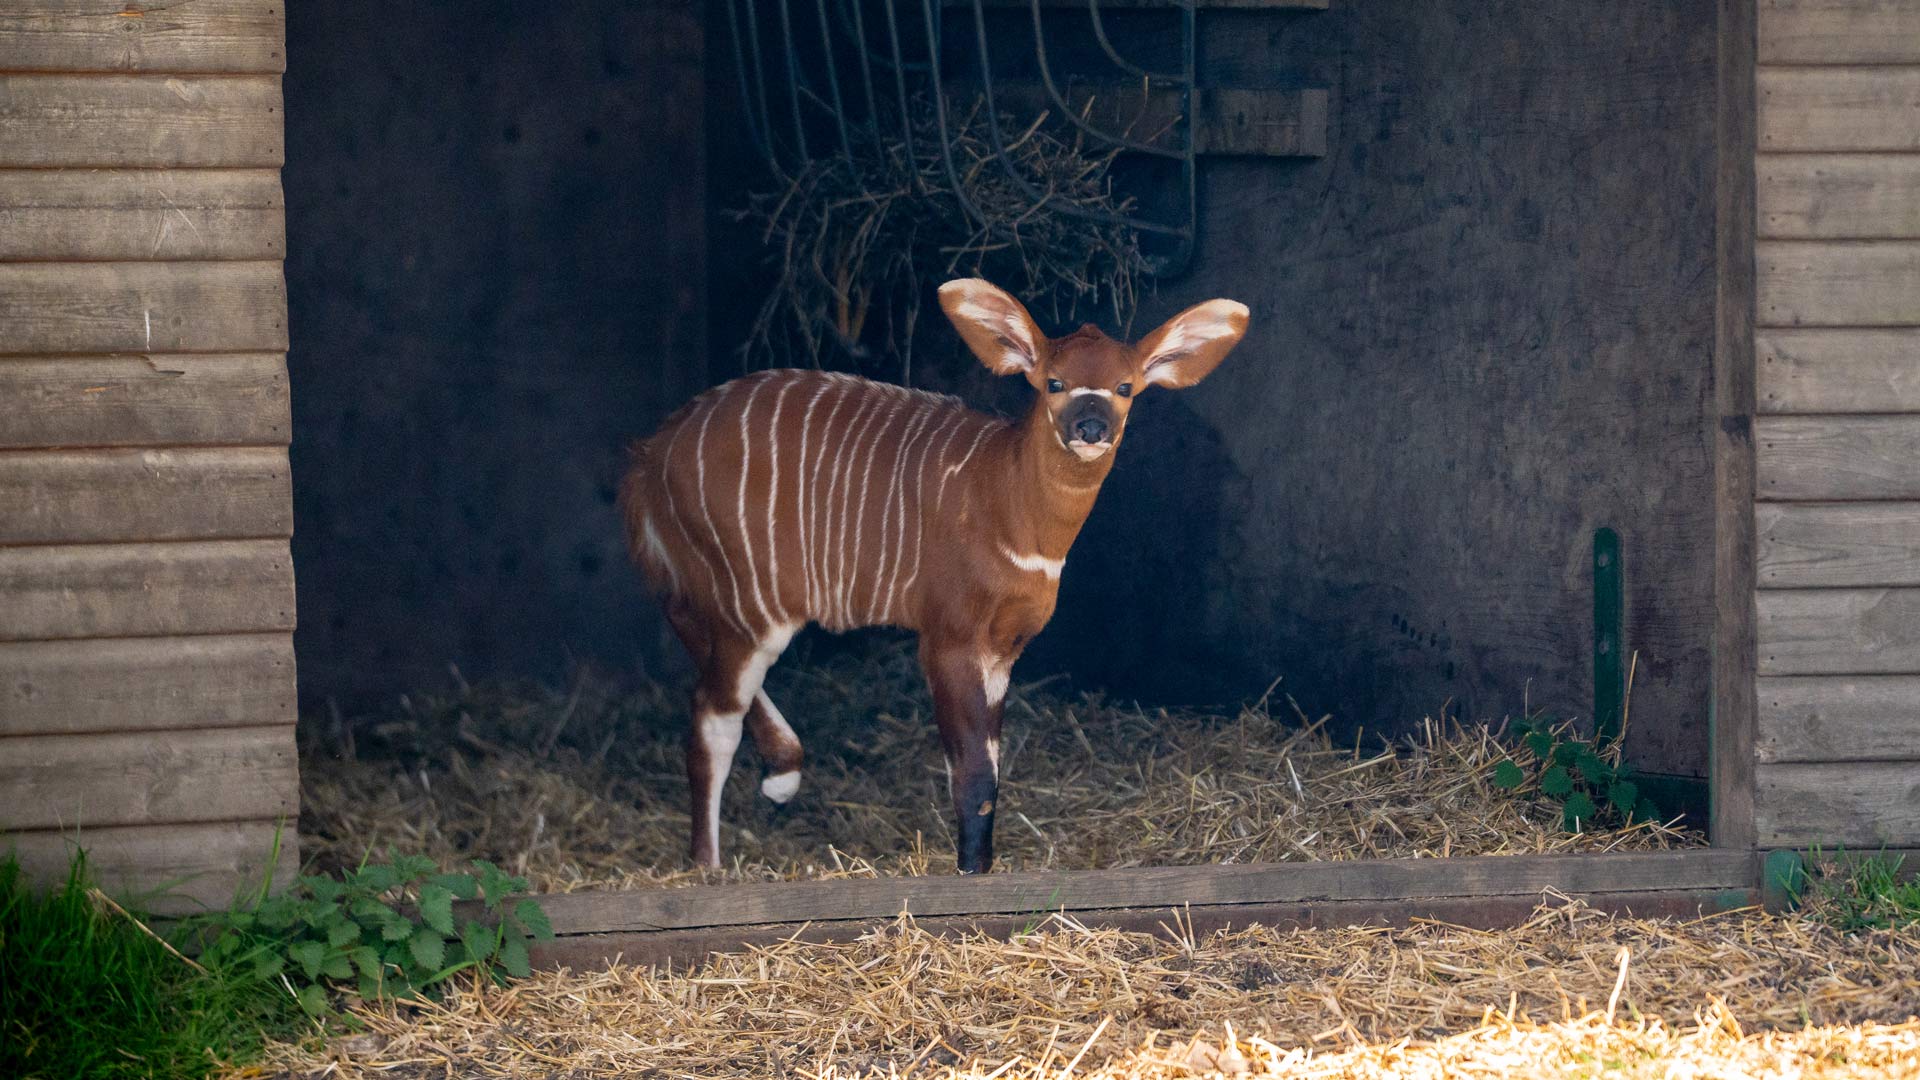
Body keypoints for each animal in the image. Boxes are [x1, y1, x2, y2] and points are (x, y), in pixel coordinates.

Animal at [620, 278, 1250, 873]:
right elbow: (972, 776)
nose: (1091, 427)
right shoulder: (949, 637)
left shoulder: (1002, 650)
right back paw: (709, 864)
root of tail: (649, 458)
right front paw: (970, 873)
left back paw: (782, 776)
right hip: (752, 604)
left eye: (1124, 387)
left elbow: (990, 768)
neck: (1009, 503)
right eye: (1053, 382)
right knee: (710, 716)